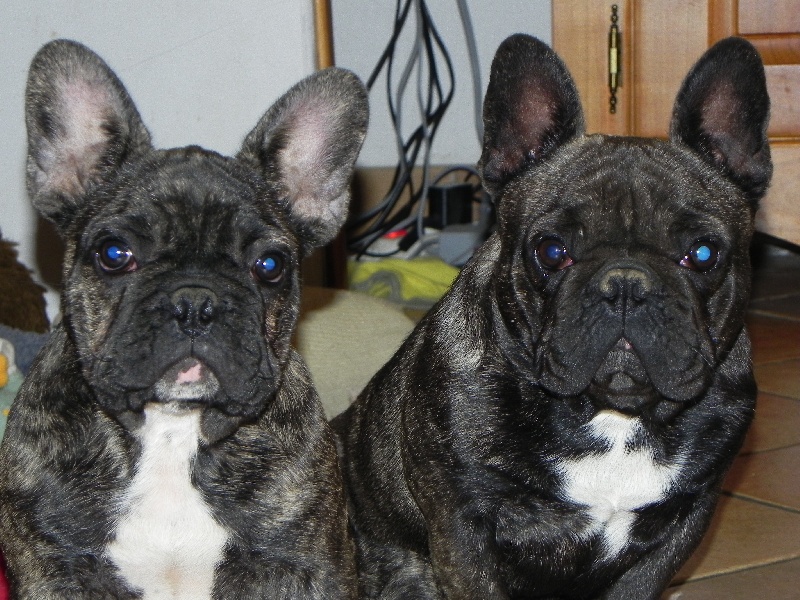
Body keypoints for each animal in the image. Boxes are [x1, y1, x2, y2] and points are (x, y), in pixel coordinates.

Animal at [0, 39, 367, 599]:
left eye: (271, 266)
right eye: (113, 253)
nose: (195, 301)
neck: (172, 429)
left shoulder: (304, 565)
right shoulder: (54, 568)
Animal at [334, 35, 771, 599]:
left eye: (702, 253)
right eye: (551, 250)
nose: (625, 284)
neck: (613, 417)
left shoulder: (680, 525)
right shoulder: (463, 528)